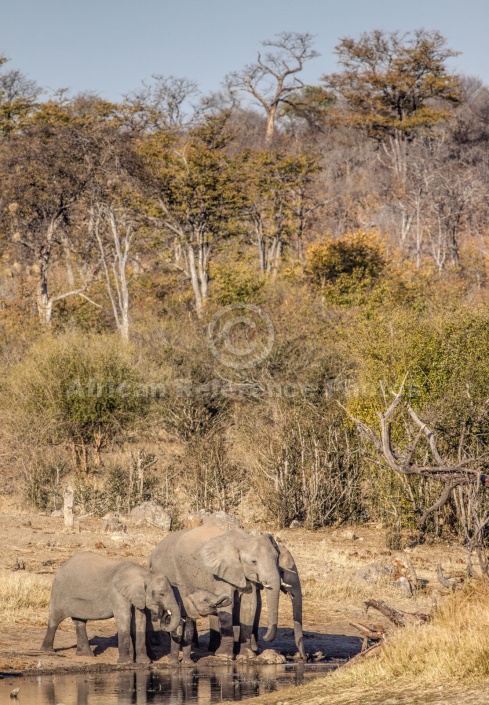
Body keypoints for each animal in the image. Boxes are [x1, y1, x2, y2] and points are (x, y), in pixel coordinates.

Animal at [40, 552, 181, 664]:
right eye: (161, 594)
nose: (164, 615)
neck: (144, 573)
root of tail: (61, 566)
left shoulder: (137, 595)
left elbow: (140, 620)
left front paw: (144, 662)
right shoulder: (116, 592)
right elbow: (124, 617)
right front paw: (126, 662)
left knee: (80, 621)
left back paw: (86, 655)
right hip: (59, 591)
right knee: (55, 619)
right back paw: (48, 652)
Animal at [149, 524, 280, 660]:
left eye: (277, 559)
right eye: (254, 561)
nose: (265, 637)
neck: (242, 540)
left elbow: (249, 605)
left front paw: (246, 655)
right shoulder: (220, 574)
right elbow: (227, 608)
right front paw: (225, 656)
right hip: (167, 570)